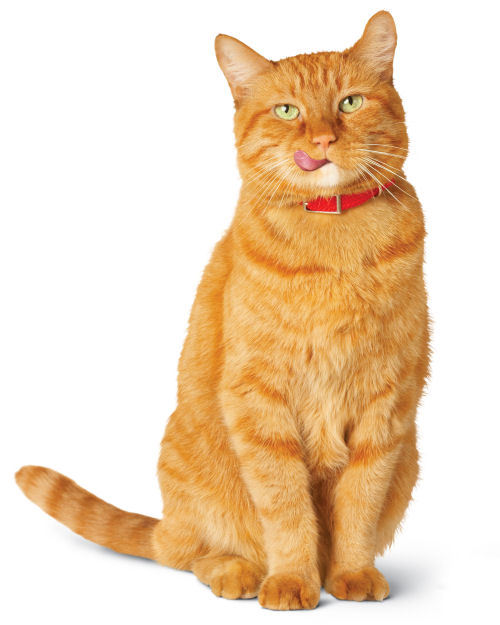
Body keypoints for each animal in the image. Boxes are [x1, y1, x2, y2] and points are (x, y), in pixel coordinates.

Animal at [16, 10, 429, 610]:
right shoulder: (259, 399)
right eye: (288, 110)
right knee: (192, 554)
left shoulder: (386, 402)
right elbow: (285, 507)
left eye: (349, 103)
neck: (332, 244)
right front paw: (292, 580)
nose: (323, 139)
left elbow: (359, 502)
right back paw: (238, 572)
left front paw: (350, 574)